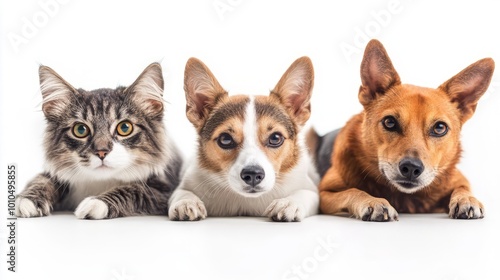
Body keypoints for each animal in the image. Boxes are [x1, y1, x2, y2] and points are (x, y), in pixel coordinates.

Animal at [14, 62, 183, 220]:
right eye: (80, 130)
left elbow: (132, 190)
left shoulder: (162, 190)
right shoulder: (54, 175)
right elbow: (41, 180)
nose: (101, 152)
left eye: (125, 127)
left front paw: (96, 202)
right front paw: (27, 200)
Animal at [167, 57, 316, 222]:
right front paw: (186, 202)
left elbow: (305, 193)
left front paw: (288, 203)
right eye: (225, 139)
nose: (253, 175)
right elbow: (182, 192)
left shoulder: (310, 189)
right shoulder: (186, 183)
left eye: (275, 138)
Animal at [314, 39, 494, 222]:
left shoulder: (460, 180)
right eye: (389, 122)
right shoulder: (324, 194)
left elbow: (463, 188)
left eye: (440, 128)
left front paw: (467, 199)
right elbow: (352, 191)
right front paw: (373, 201)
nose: (411, 168)